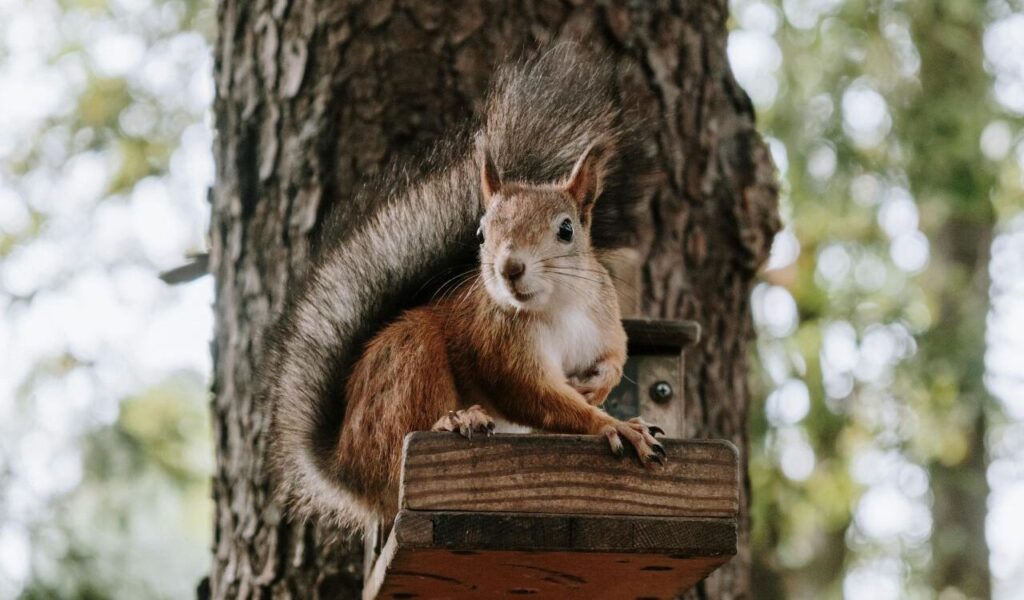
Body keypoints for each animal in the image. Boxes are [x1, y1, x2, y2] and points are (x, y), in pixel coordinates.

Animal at [265, 45, 658, 529]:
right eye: (481, 233)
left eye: (566, 230)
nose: (510, 267)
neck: (557, 307)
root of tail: (346, 467)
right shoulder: (499, 346)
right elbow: (535, 397)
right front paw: (613, 424)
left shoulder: (604, 318)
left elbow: (616, 355)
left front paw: (599, 387)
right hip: (407, 361)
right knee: (397, 446)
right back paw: (453, 422)